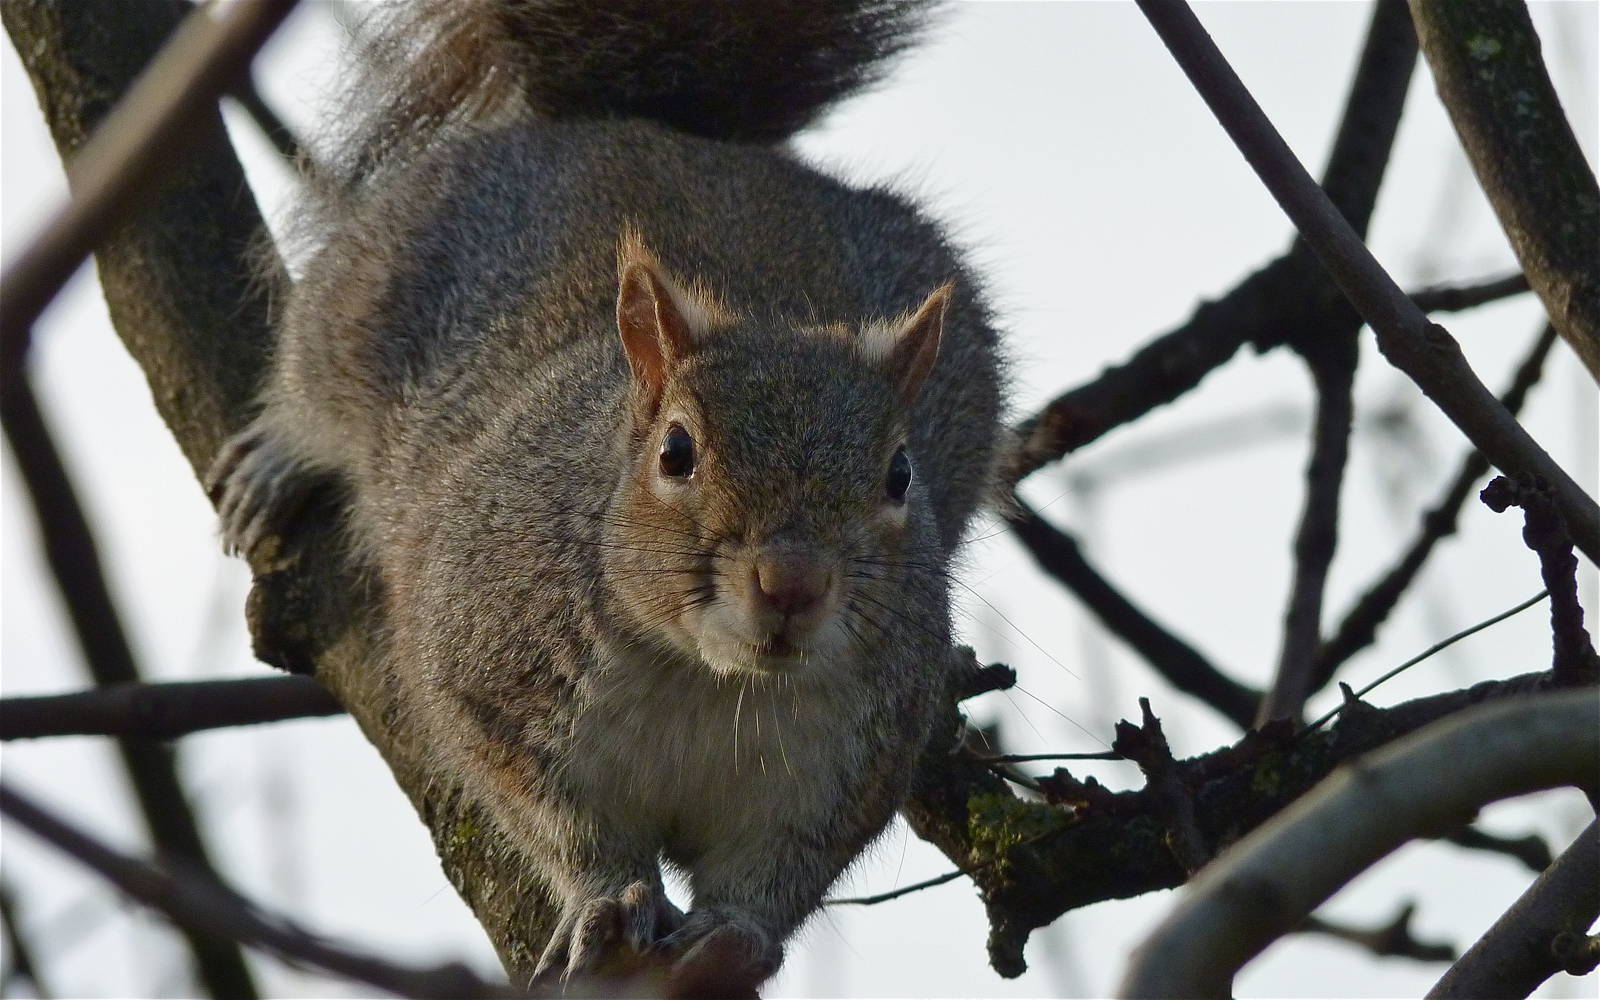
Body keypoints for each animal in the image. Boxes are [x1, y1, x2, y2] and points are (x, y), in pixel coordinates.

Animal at [209, 0, 1005, 992]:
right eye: (676, 452)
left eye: (900, 475)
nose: (791, 584)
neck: (708, 681)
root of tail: (675, 135)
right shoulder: (491, 681)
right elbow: (557, 823)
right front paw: (603, 906)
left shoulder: (843, 771)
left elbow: (782, 872)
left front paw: (736, 934)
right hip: (365, 288)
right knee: (310, 374)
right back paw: (277, 459)